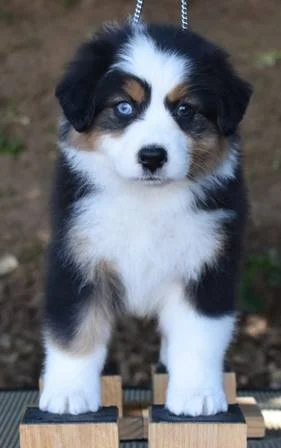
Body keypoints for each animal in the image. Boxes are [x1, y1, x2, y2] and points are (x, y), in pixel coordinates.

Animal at [39, 23, 252, 416]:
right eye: (124, 107)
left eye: (185, 110)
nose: (152, 157)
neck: (146, 199)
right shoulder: (76, 254)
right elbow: (74, 330)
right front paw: (68, 393)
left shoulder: (208, 263)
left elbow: (198, 336)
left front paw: (197, 395)